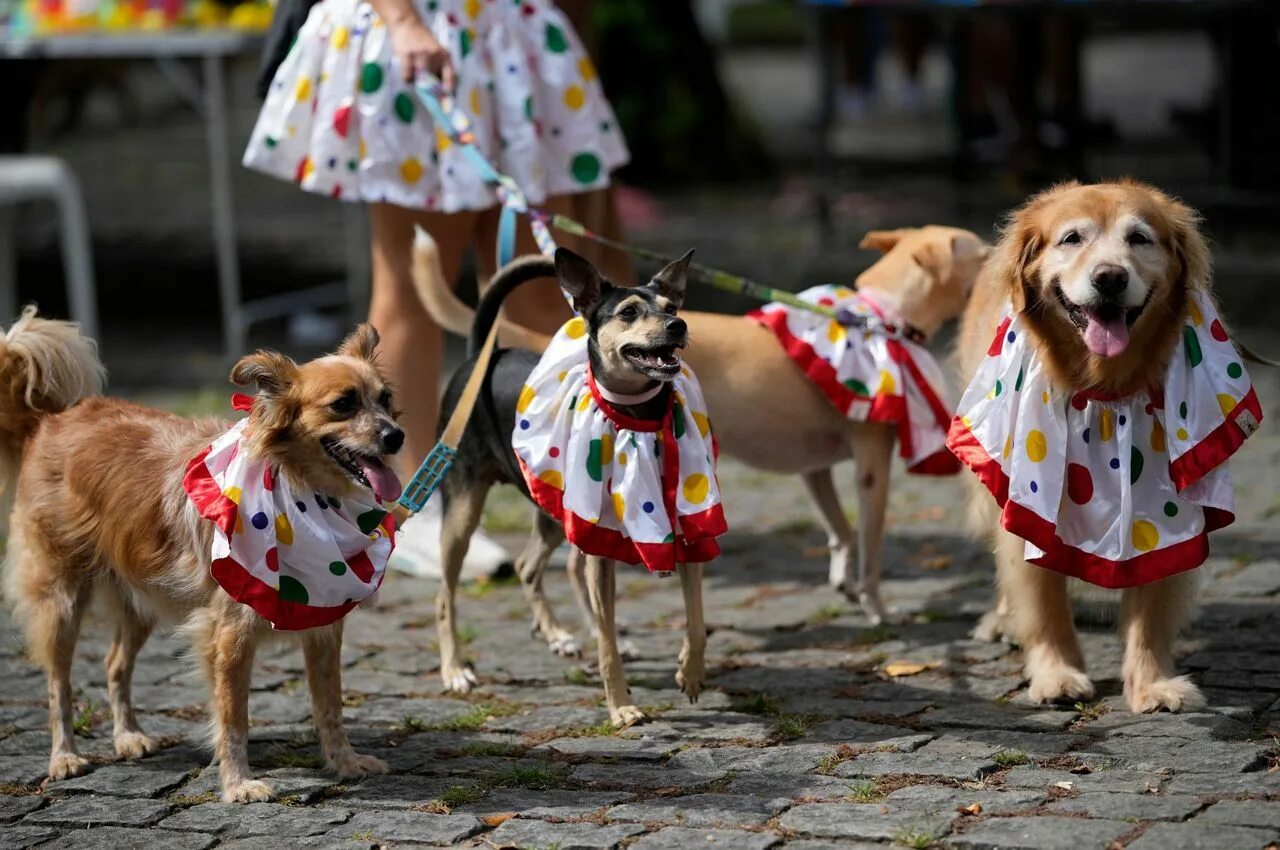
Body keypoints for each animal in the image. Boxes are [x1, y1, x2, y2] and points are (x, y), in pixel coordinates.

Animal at [1, 313, 394, 803]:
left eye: (387, 399)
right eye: (343, 405)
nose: (396, 436)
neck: (302, 491)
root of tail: (51, 420)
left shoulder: (323, 630)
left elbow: (330, 706)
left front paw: (344, 762)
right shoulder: (228, 635)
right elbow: (233, 718)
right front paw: (238, 783)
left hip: (141, 598)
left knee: (114, 664)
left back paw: (128, 736)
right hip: (62, 599)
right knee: (58, 684)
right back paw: (64, 757)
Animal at [412, 225, 988, 629]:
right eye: (981, 254)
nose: (1002, 261)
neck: (875, 317)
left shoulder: (816, 470)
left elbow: (840, 532)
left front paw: (843, 582)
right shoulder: (872, 468)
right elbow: (869, 547)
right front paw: (877, 608)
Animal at [435, 244, 706, 721]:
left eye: (673, 308)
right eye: (629, 312)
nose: (678, 326)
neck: (638, 417)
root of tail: (483, 356)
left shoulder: (683, 527)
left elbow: (695, 617)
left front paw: (689, 672)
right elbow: (607, 643)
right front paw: (621, 706)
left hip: (558, 513)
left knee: (530, 566)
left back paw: (559, 634)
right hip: (463, 512)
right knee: (445, 595)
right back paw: (455, 669)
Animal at [962, 180, 1213, 711]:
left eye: (1139, 238)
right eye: (1072, 238)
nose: (1110, 278)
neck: (1103, 389)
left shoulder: (1163, 499)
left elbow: (1152, 605)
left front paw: (1153, 683)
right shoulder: (1028, 495)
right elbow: (1041, 599)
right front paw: (1056, 673)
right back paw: (1001, 620)